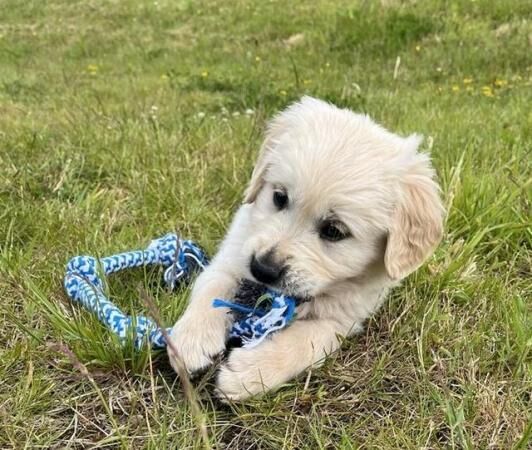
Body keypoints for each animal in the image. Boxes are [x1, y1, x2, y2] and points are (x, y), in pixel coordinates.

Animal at [168, 96, 442, 400]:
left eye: (334, 231)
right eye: (279, 197)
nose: (262, 269)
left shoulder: (342, 319)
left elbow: (305, 342)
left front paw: (251, 374)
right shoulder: (234, 253)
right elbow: (212, 289)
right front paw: (192, 339)